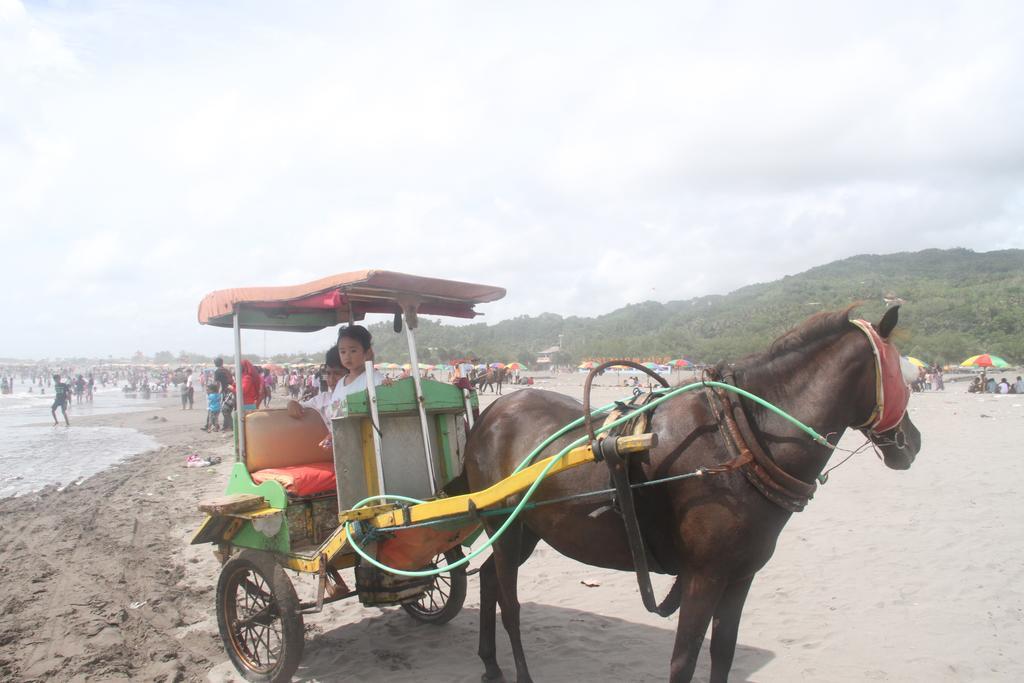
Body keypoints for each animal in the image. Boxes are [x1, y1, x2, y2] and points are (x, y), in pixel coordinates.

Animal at [460, 305, 925, 683]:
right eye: (904, 376)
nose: (914, 442)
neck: (738, 439)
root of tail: (491, 412)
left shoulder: (740, 575)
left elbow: (723, 653)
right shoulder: (704, 576)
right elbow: (683, 662)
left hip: (527, 528)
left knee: (488, 580)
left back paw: (490, 664)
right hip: (505, 525)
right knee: (510, 605)